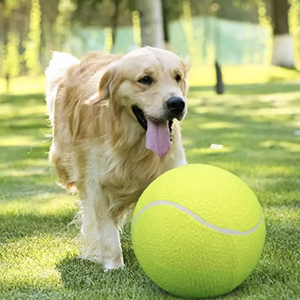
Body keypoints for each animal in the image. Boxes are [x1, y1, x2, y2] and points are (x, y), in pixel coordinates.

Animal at [45, 46, 189, 270]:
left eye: (178, 77)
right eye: (145, 79)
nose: (177, 104)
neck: (133, 145)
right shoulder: (97, 185)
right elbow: (106, 230)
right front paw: (114, 266)